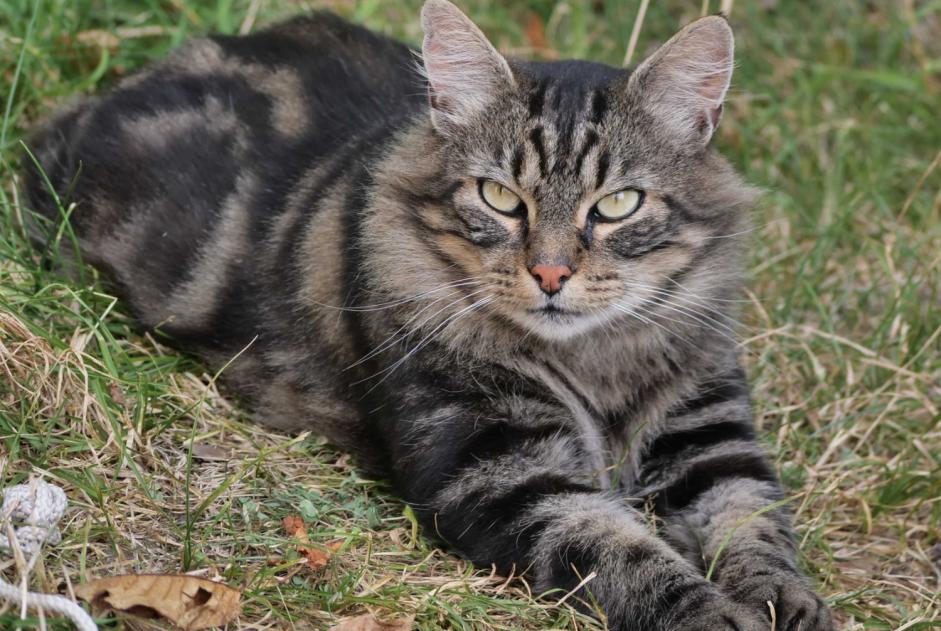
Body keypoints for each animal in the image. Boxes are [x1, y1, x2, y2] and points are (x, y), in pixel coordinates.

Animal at [22, 2, 828, 628]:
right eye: (501, 198)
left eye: (618, 205)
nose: (551, 274)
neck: (592, 363)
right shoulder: (501, 469)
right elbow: (626, 550)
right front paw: (712, 613)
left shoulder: (709, 439)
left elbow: (755, 531)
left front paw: (786, 604)